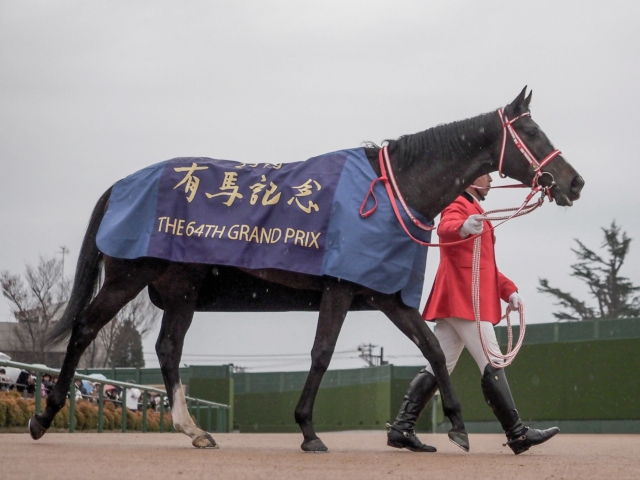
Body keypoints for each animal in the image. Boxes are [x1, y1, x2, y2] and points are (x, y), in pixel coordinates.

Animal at [31, 88, 584, 452]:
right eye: (531, 130)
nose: (574, 182)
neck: (391, 189)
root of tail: (121, 184)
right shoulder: (340, 288)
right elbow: (321, 354)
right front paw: (308, 430)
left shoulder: (384, 294)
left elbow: (431, 350)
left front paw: (453, 427)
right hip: (129, 276)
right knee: (85, 328)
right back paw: (46, 412)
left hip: (182, 289)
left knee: (168, 348)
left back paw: (194, 430)